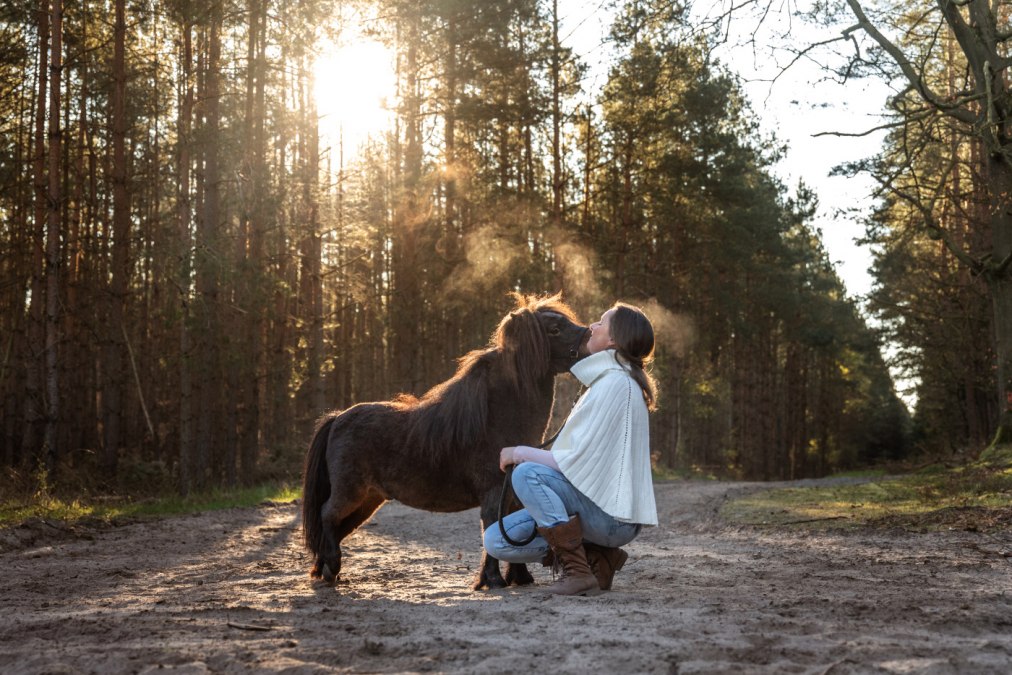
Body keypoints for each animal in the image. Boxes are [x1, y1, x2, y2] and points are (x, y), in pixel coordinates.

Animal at [301, 293, 589, 590]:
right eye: (554, 330)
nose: (590, 335)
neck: (497, 418)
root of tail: (337, 418)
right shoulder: (493, 492)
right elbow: (492, 530)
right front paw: (493, 580)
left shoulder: (511, 496)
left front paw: (519, 578)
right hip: (350, 493)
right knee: (327, 515)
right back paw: (331, 568)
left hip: (368, 500)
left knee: (336, 526)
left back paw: (325, 570)